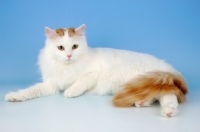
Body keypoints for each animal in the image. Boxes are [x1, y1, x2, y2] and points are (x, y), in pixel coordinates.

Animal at [5, 24, 188, 117]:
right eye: (61, 48)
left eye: (75, 47)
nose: (69, 55)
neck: (67, 67)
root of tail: (168, 68)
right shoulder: (52, 85)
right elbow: (30, 91)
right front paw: (13, 96)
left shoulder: (93, 74)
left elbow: (80, 82)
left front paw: (70, 92)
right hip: (143, 84)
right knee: (157, 96)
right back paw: (142, 103)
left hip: (143, 79)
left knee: (168, 96)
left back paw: (169, 111)